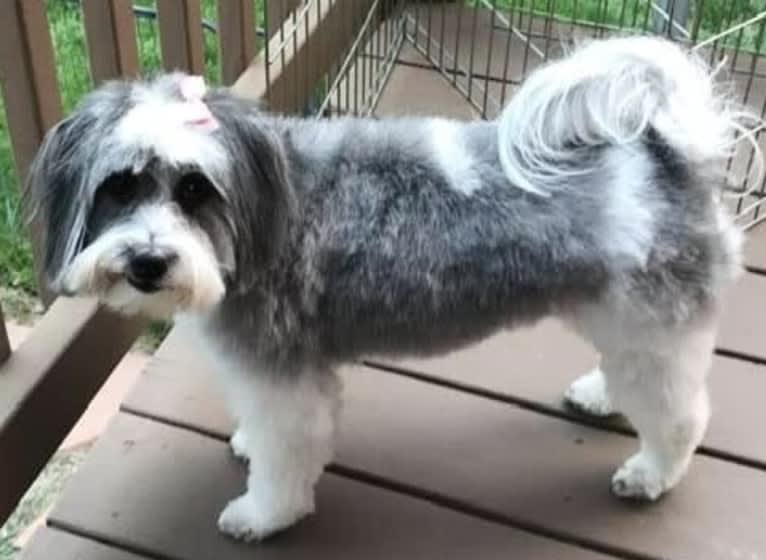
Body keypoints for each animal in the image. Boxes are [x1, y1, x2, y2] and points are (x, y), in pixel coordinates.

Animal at [25, 36, 760, 544]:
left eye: (194, 189)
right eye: (119, 186)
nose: (148, 262)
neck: (264, 212)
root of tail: (669, 156)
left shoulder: (287, 381)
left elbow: (286, 461)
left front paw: (263, 516)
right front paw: (246, 446)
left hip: (651, 329)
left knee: (680, 415)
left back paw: (649, 476)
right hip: (623, 321)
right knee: (635, 380)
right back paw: (600, 395)